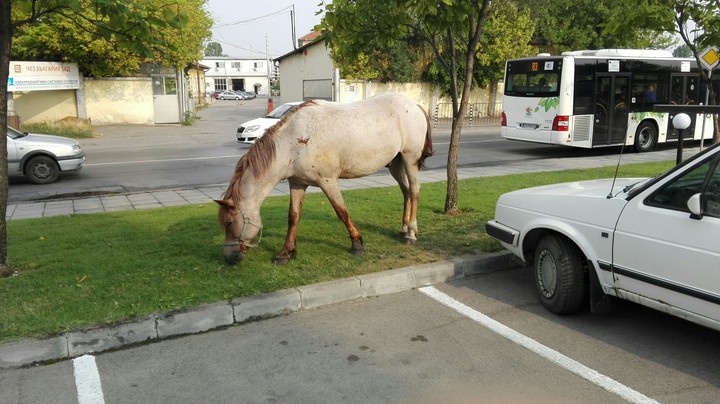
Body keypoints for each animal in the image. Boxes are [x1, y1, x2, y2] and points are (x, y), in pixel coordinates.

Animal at [215, 93, 434, 265]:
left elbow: (342, 212)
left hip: (410, 159)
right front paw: (286, 252)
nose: (228, 257)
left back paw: (411, 234)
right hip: (396, 164)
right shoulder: (297, 183)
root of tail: (414, 105)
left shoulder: (328, 181)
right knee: (406, 192)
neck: (293, 142)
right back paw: (403, 229)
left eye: (229, 223)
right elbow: (293, 217)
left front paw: (357, 244)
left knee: (414, 191)